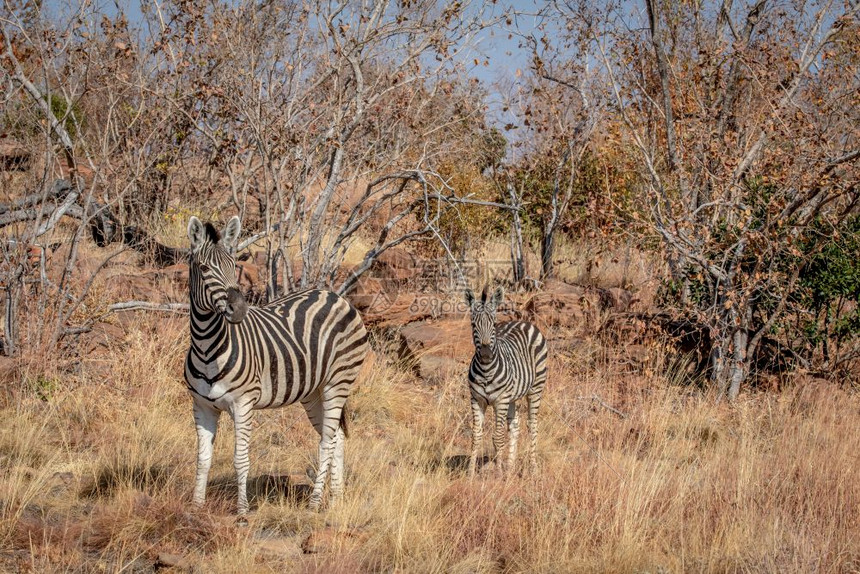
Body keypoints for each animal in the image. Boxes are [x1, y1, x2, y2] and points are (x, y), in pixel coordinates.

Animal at [185, 217, 366, 516]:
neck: (207, 346)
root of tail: (335, 296)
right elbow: (202, 459)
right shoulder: (202, 406)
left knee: (326, 443)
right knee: (336, 437)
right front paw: (196, 507)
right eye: (203, 268)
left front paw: (242, 512)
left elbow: (240, 459)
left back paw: (314, 503)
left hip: (338, 381)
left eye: (233, 264)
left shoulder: (243, 403)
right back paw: (337, 499)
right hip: (313, 392)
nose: (239, 309)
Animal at [466, 286, 548, 480]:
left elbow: (497, 437)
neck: (486, 371)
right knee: (515, 427)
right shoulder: (476, 399)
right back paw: (510, 468)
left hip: (536, 387)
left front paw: (498, 473)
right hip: (513, 396)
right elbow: (476, 436)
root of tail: (523, 322)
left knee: (532, 425)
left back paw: (533, 469)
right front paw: (471, 475)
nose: (486, 354)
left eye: (494, 323)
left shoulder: (500, 400)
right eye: (473, 325)